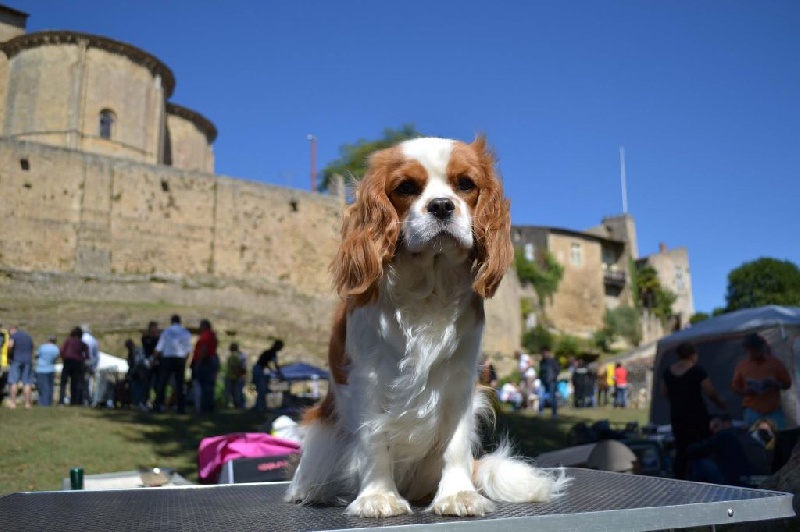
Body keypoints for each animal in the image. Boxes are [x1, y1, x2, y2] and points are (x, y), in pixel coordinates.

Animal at [284, 135, 564, 516]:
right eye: (406, 188)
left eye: (466, 184)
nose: (442, 205)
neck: (428, 286)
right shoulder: (367, 377)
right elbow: (374, 439)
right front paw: (378, 496)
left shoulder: (461, 380)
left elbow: (456, 443)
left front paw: (457, 495)